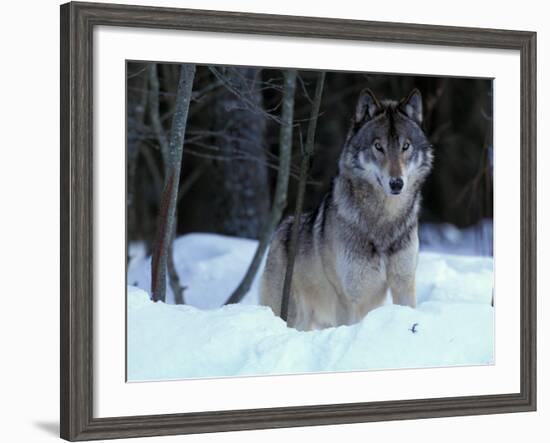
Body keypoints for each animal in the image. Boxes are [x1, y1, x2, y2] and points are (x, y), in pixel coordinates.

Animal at [262, 87, 436, 330]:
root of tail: (281, 229)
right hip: (295, 316)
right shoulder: (349, 298)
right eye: (378, 146)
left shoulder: (404, 284)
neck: (384, 221)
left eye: (405, 146)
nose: (396, 183)